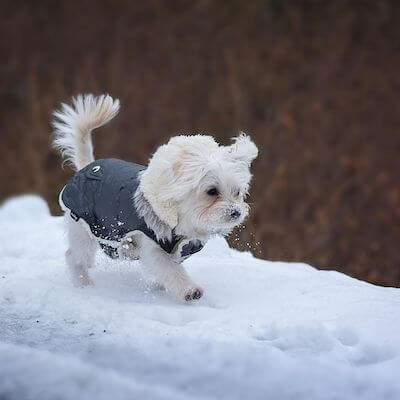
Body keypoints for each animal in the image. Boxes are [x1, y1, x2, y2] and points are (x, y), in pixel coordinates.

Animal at [52, 94, 260, 300]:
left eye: (237, 192)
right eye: (212, 191)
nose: (236, 212)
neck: (182, 221)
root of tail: (86, 167)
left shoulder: (179, 249)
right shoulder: (152, 246)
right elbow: (170, 269)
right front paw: (189, 290)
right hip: (83, 228)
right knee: (74, 257)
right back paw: (83, 283)